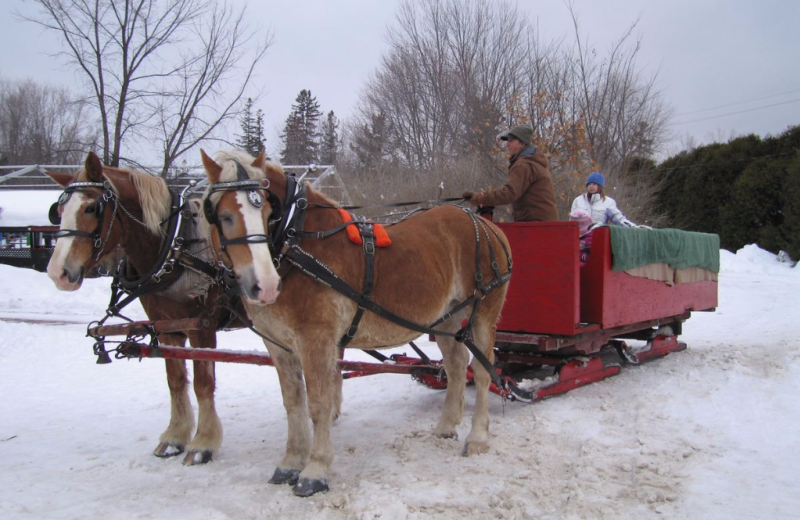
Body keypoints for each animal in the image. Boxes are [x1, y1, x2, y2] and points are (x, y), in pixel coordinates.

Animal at [200, 148, 512, 498]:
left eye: (267, 209)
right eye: (224, 216)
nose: (264, 285)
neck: (296, 245)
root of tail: (486, 225)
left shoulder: (316, 339)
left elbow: (318, 404)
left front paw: (315, 470)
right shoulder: (278, 344)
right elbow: (293, 403)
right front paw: (290, 462)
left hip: (483, 314)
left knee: (483, 372)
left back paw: (477, 437)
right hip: (445, 319)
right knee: (457, 366)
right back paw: (446, 426)